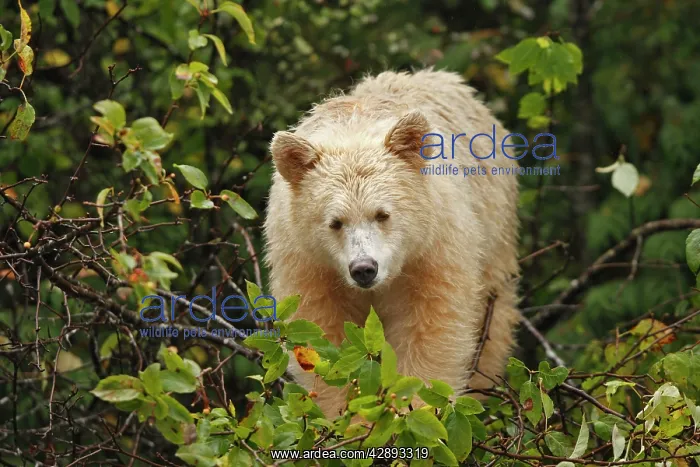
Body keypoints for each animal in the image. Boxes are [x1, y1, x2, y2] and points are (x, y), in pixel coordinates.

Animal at [264, 69, 520, 417]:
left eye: (382, 214)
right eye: (335, 222)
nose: (364, 269)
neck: (353, 129)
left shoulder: (434, 246)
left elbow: (432, 325)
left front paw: (415, 406)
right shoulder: (307, 260)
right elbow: (321, 334)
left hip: (496, 232)